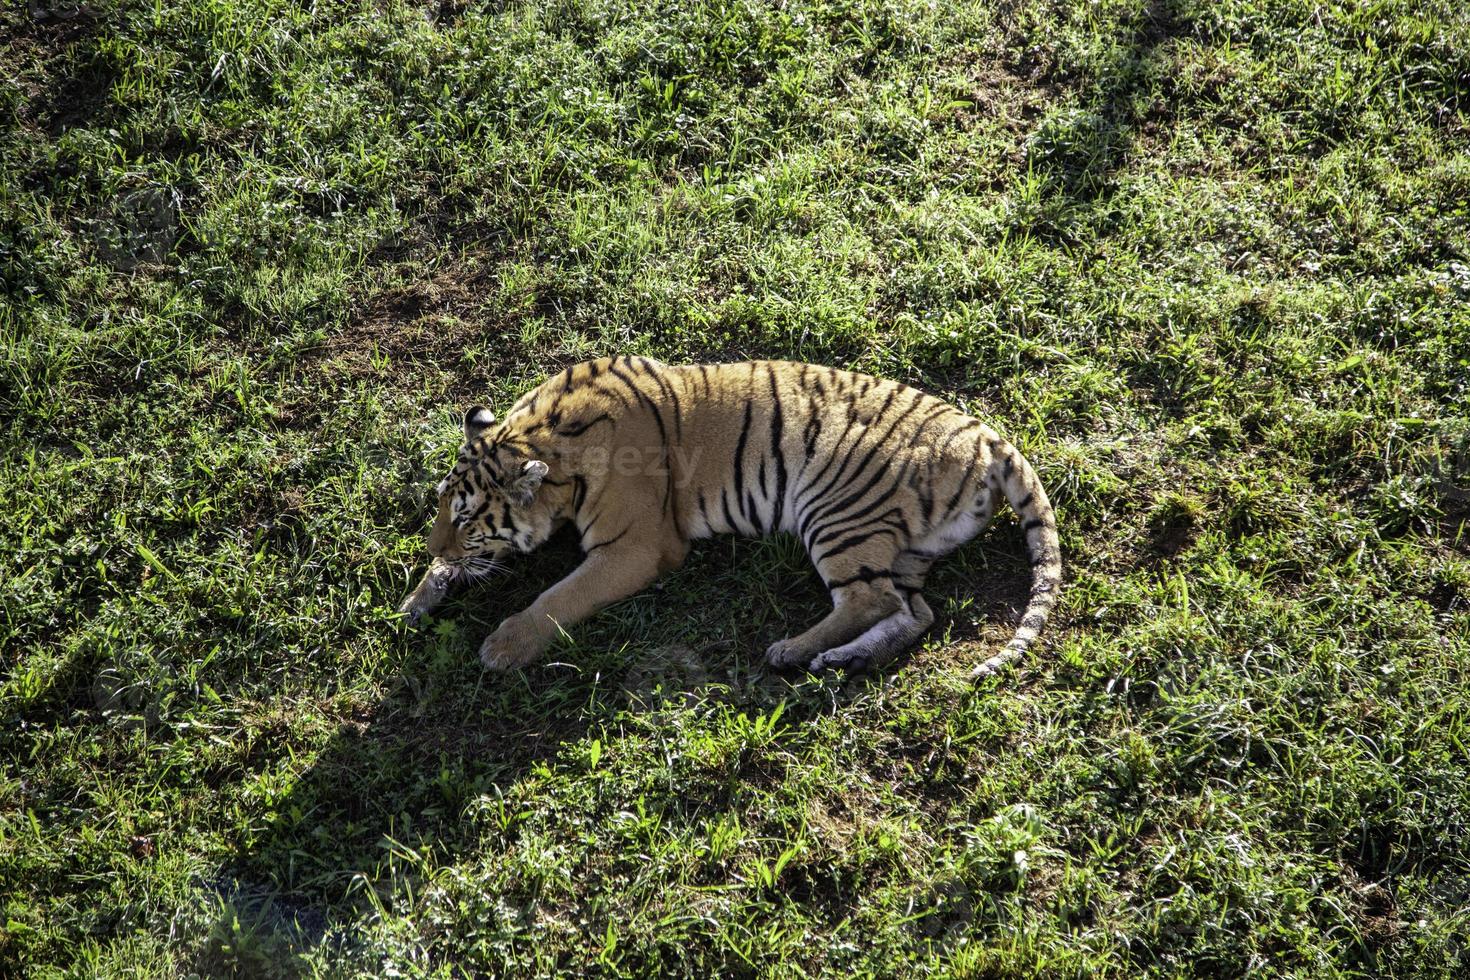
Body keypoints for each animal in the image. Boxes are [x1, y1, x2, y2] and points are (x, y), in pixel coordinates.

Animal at [396, 357, 1064, 678]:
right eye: (442, 506)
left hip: (834, 509)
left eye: (466, 518)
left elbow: (559, 597)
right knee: (911, 612)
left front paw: (503, 645)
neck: (539, 436)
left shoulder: (636, 547)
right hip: (906, 547)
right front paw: (415, 600)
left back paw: (790, 651)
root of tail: (987, 437)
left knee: (869, 601)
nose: (432, 544)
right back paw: (840, 660)